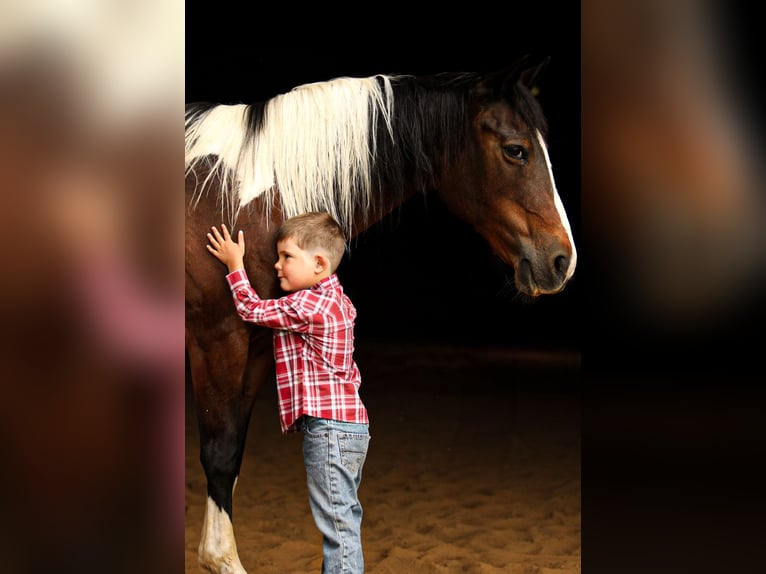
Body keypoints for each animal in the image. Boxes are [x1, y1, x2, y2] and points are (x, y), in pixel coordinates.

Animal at [185, 56, 577, 574]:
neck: (245, 196)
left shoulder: (255, 340)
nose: (563, 260)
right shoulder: (216, 338)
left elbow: (231, 451)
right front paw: (221, 558)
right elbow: (218, 449)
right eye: (517, 150)